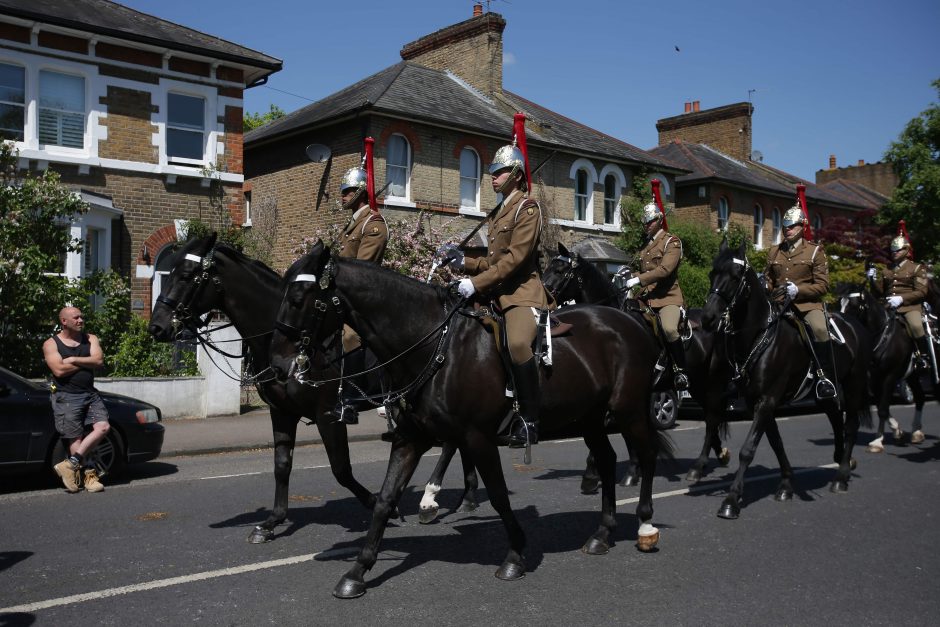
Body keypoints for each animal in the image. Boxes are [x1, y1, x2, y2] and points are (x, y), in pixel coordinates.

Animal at [268, 244, 672, 600]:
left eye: (300, 296)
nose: (277, 364)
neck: (433, 346)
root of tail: (630, 321)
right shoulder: (410, 439)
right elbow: (384, 500)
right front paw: (357, 572)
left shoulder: (477, 437)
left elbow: (498, 495)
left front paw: (514, 556)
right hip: (589, 419)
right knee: (606, 460)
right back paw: (602, 534)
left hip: (629, 411)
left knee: (648, 455)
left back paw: (646, 526)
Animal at [544, 242, 736, 486]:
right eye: (547, 268)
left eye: (560, 270)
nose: (543, 298)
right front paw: (626, 470)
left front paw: (605, 472)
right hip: (697, 384)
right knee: (712, 417)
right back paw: (720, 454)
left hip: (710, 380)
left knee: (712, 419)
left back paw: (699, 467)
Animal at [700, 240, 872, 520]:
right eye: (712, 273)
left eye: (735, 277)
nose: (707, 318)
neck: (760, 336)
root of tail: (856, 324)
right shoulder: (757, 402)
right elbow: (776, 443)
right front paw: (786, 485)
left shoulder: (767, 400)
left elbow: (748, 449)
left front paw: (731, 500)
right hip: (824, 393)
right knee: (836, 417)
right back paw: (838, 459)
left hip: (854, 384)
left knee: (851, 424)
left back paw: (842, 476)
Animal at [836, 284, 932, 446]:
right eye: (840, 303)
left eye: (854, 305)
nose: (841, 324)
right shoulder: (874, 378)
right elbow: (882, 406)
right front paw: (895, 432)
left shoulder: (890, 375)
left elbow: (882, 409)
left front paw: (877, 442)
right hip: (912, 375)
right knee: (920, 397)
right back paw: (916, 432)